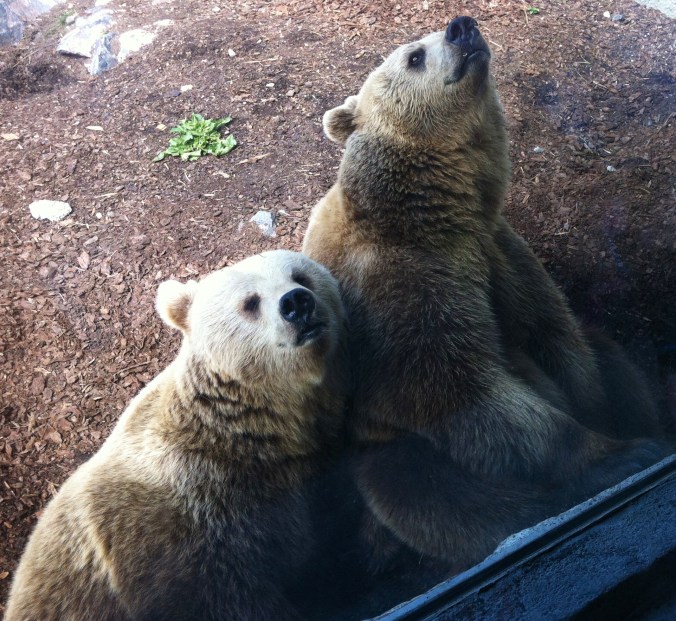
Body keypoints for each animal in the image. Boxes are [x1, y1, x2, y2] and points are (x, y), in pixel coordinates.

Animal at [302, 16, 670, 615]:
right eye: (413, 56)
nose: (462, 26)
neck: (437, 215)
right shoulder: (403, 299)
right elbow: (470, 397)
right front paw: (622, 455)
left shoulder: (499, 253)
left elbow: (560, 340)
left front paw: (616, 422)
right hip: (385, 459)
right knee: (439, 496)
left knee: (608, 353)